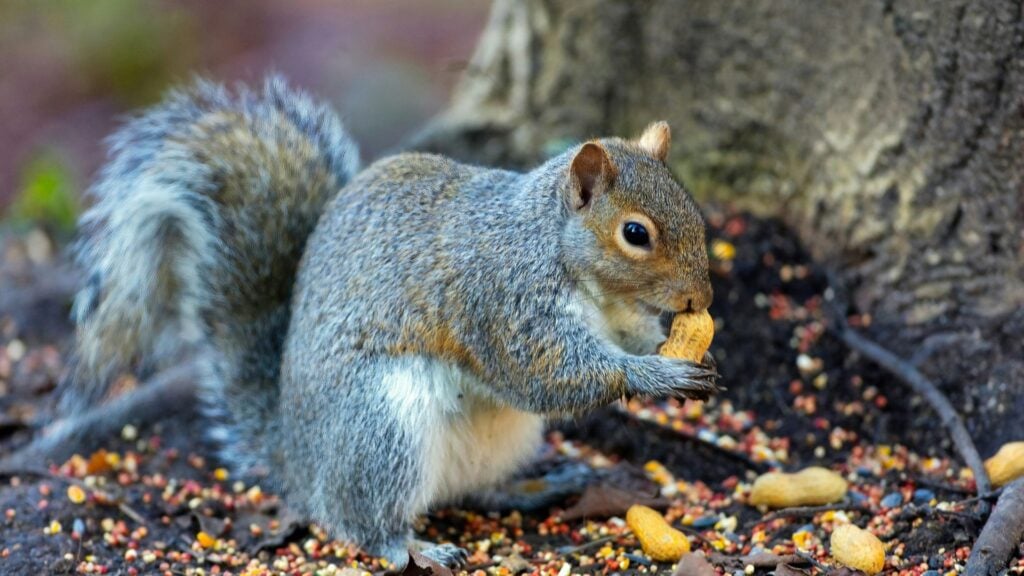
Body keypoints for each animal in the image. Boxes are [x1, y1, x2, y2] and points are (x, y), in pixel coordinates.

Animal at [50, 76, 718, 569]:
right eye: (635, 233)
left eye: (691, 203)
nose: (701, 296)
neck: (561, 253)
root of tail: (299, 460)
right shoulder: (502, 299)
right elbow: (548, 372)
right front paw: (655, 375)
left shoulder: (612, 312)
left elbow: (626, 337)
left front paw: (683, 350)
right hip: (381, 426)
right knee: (361, 523)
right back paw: (415, 546)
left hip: (500, 438)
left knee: (474, 489)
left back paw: (533, 488)